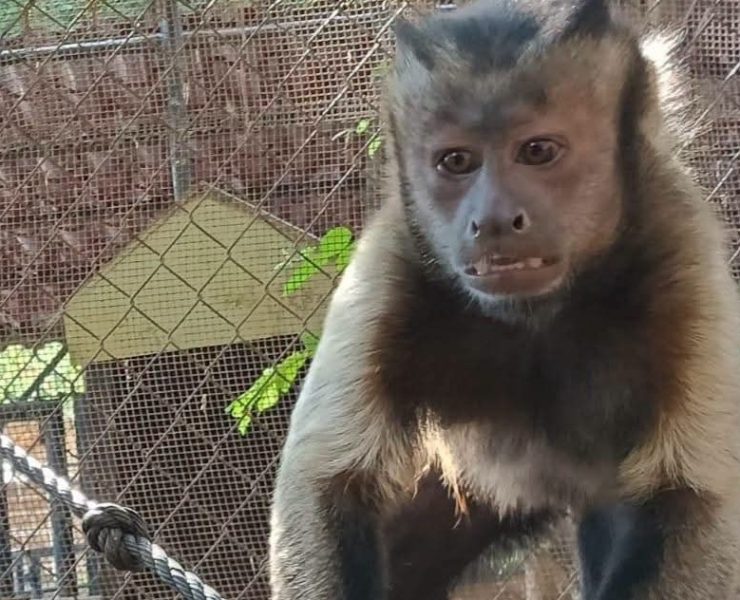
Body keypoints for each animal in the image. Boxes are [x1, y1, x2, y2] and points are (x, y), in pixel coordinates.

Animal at [268, 0, 740, 598]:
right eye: (456, 162)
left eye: (537, 152)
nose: (492, 219)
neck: (536, 316)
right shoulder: (392, 261)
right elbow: (327, 481)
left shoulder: (680, 244)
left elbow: (687, 496)